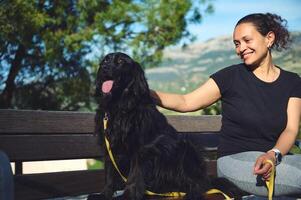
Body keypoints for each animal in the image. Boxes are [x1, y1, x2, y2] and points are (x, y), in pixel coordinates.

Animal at [92, 52, 240, 199]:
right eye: (105, 60)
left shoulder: (140, 149)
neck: (118, 106)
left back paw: (190, 194)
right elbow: (109, 174)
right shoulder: (109, 146)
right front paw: (104, 194)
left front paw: (128, 196)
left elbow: (133, 176)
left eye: (121, 61)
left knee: (199, 184)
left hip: (186, 149)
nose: (104, 67)